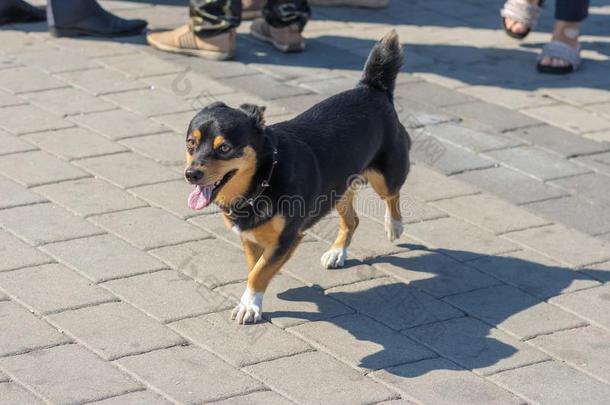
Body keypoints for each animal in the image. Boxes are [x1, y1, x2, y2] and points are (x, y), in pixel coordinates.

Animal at [180, 30, 408, 322]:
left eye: (225, 148)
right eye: (191, 144)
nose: (191, 174)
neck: (262, 180)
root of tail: (371, 87)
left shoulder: (288, 237)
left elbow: (260, 271)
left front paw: (249, 305)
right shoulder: (250, 237)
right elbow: (256, 266)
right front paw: (254, 299)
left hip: (385, 176)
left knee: (393, 196)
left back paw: (394, 225)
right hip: (337, 190)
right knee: (352, 220)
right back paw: (337, 252)